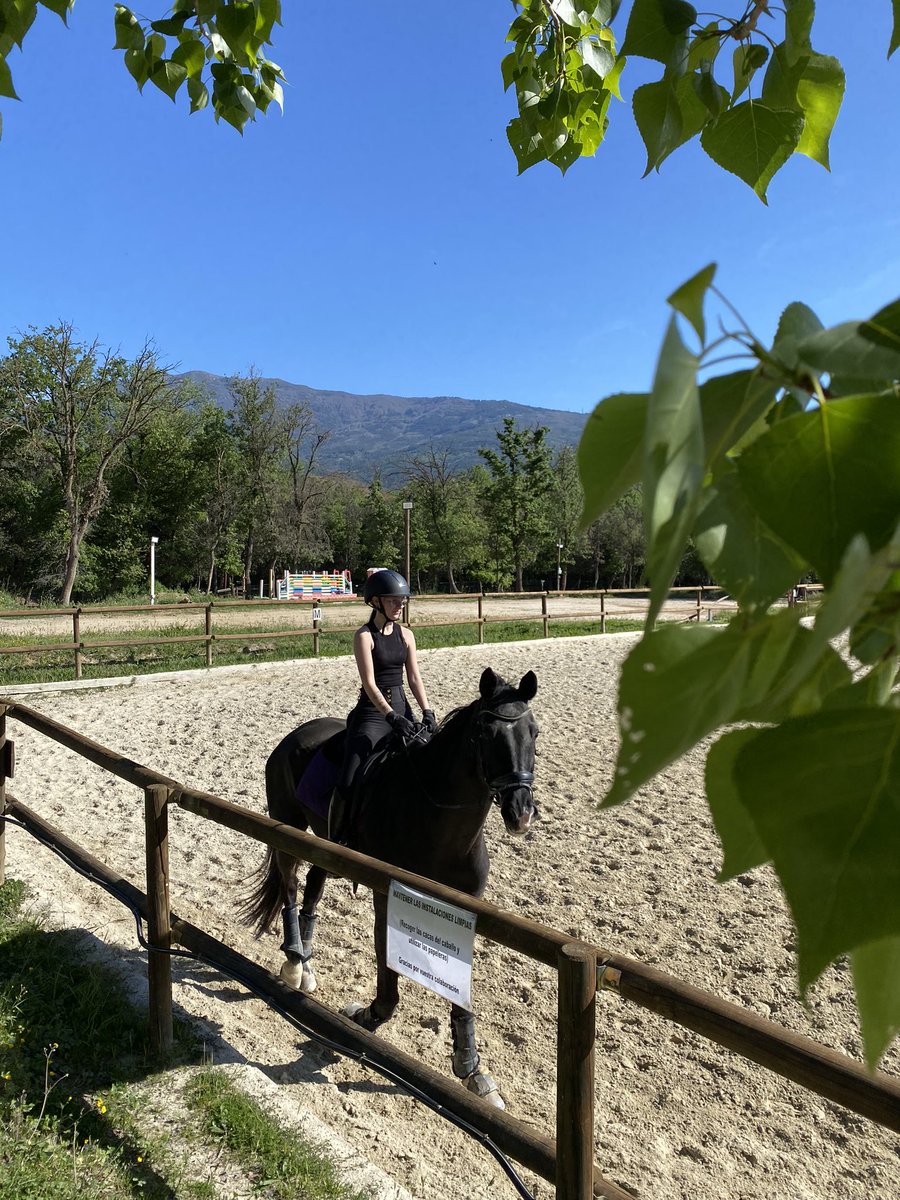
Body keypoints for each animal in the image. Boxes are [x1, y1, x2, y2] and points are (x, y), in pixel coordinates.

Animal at [239, 667, 539, 1107]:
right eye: (487, 734)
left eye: (534, 732)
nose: (521, 814)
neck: (438, 818)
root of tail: (296, 734)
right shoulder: (388, 892)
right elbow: (386, 964)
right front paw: (369, 1014)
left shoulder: (465, 909)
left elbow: (460, 988)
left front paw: (471, 1068)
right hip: (288, 825)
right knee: (291, 887)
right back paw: (294, 963)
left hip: (326, 843)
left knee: (312, 886)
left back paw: (306, 963)